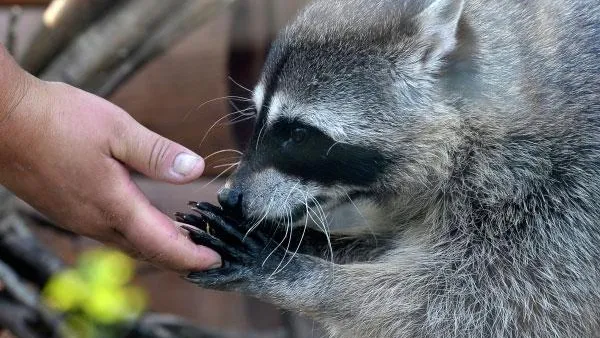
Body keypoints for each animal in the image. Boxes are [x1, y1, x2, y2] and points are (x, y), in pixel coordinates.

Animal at [180, 0, 600, 336]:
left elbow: (465, 307)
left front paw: (300, 274)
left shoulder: (560, 194)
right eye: (259, 118)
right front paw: (299, 242)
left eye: (299, 134)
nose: (231, 196)